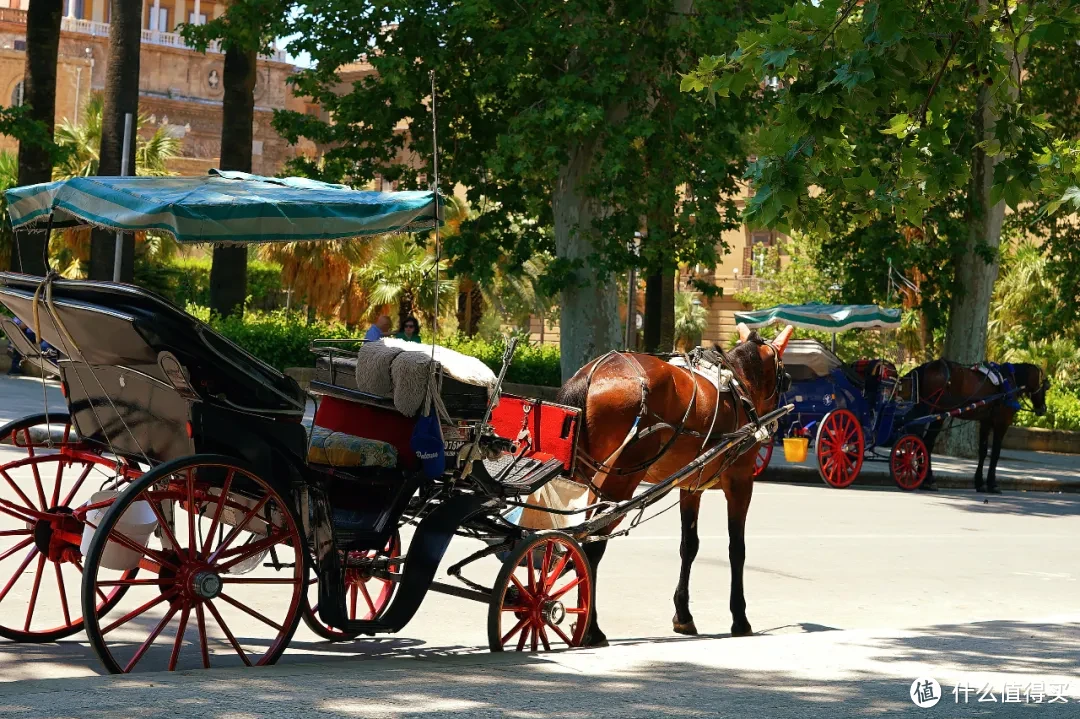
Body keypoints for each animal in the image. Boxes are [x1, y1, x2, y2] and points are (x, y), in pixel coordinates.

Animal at [557, 321, 794, 639]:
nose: (775, 425)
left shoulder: (691, 486)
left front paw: (683, 614)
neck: (740, 386)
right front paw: (740, 618)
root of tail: (592, 373)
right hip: (620, 479)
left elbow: (689, 546)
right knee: (592, 542)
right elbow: (737, 548)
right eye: (786, 379)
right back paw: (592, 628)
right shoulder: (741, 481)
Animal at [902, 360, 1045, 490]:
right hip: (937, 415)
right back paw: (928, 479)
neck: (1009, 382)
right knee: (926, 442)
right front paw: (992, 484)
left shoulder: (986, 422)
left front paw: (980, 482)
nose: (1043, 409)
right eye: (1044, 385)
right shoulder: (1002, 423)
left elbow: (983, 451)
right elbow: (995, 453)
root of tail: (929, 366)